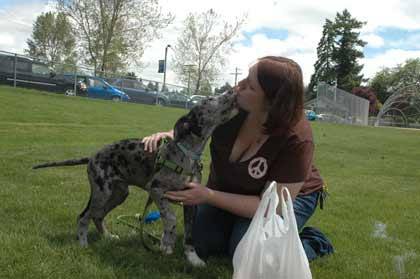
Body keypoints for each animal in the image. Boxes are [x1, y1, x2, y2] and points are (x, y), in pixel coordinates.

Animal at [32, 91, 238, 268]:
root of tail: (92, 156)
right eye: (210, 99)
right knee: (83, 217)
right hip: (102, 193)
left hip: (119, 194)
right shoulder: (156, 190)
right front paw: (166, 242)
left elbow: (189, 235)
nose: (233, 89)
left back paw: (108, 236)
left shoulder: (191, 201)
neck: (186, 153)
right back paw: (83, 244)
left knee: (97, 216)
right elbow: (170, 218)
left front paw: (193, 258)